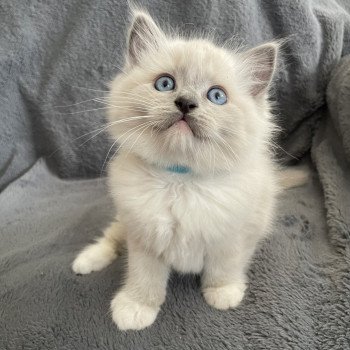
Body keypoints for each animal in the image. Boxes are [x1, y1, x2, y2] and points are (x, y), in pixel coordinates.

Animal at [72, 8, 304, 330]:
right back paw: (86, 261)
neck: (180, 179)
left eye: (217, 96)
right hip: (125, 219)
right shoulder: (143, 235)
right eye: (165, 84)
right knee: (112, 237)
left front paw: (222, 292)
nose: (185, 103)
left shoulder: (233, 233)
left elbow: (224, 266)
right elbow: (144, 275)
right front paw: (136, 306)